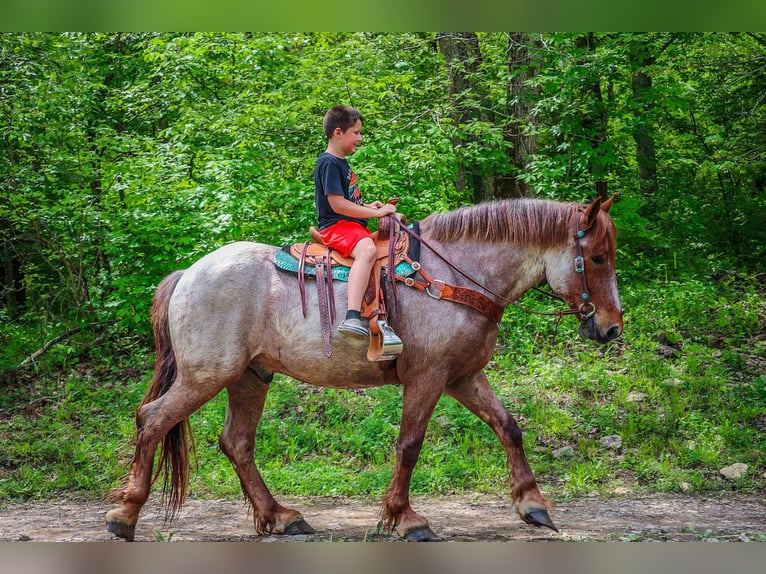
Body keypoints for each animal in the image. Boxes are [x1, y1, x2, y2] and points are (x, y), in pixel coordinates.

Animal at [106, 196, 624, 544]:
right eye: (597, 257)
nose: (611, 328)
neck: (456, 277)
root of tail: (188, 275)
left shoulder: (462, 377)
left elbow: (508, 427)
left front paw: (533, 505)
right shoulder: (428, 377)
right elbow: (410, 444)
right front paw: (406, 519)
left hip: (250, 377)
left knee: (236, 443)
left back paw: (282, 517)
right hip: (206, 375)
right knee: (152, 420)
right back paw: (124, 517)